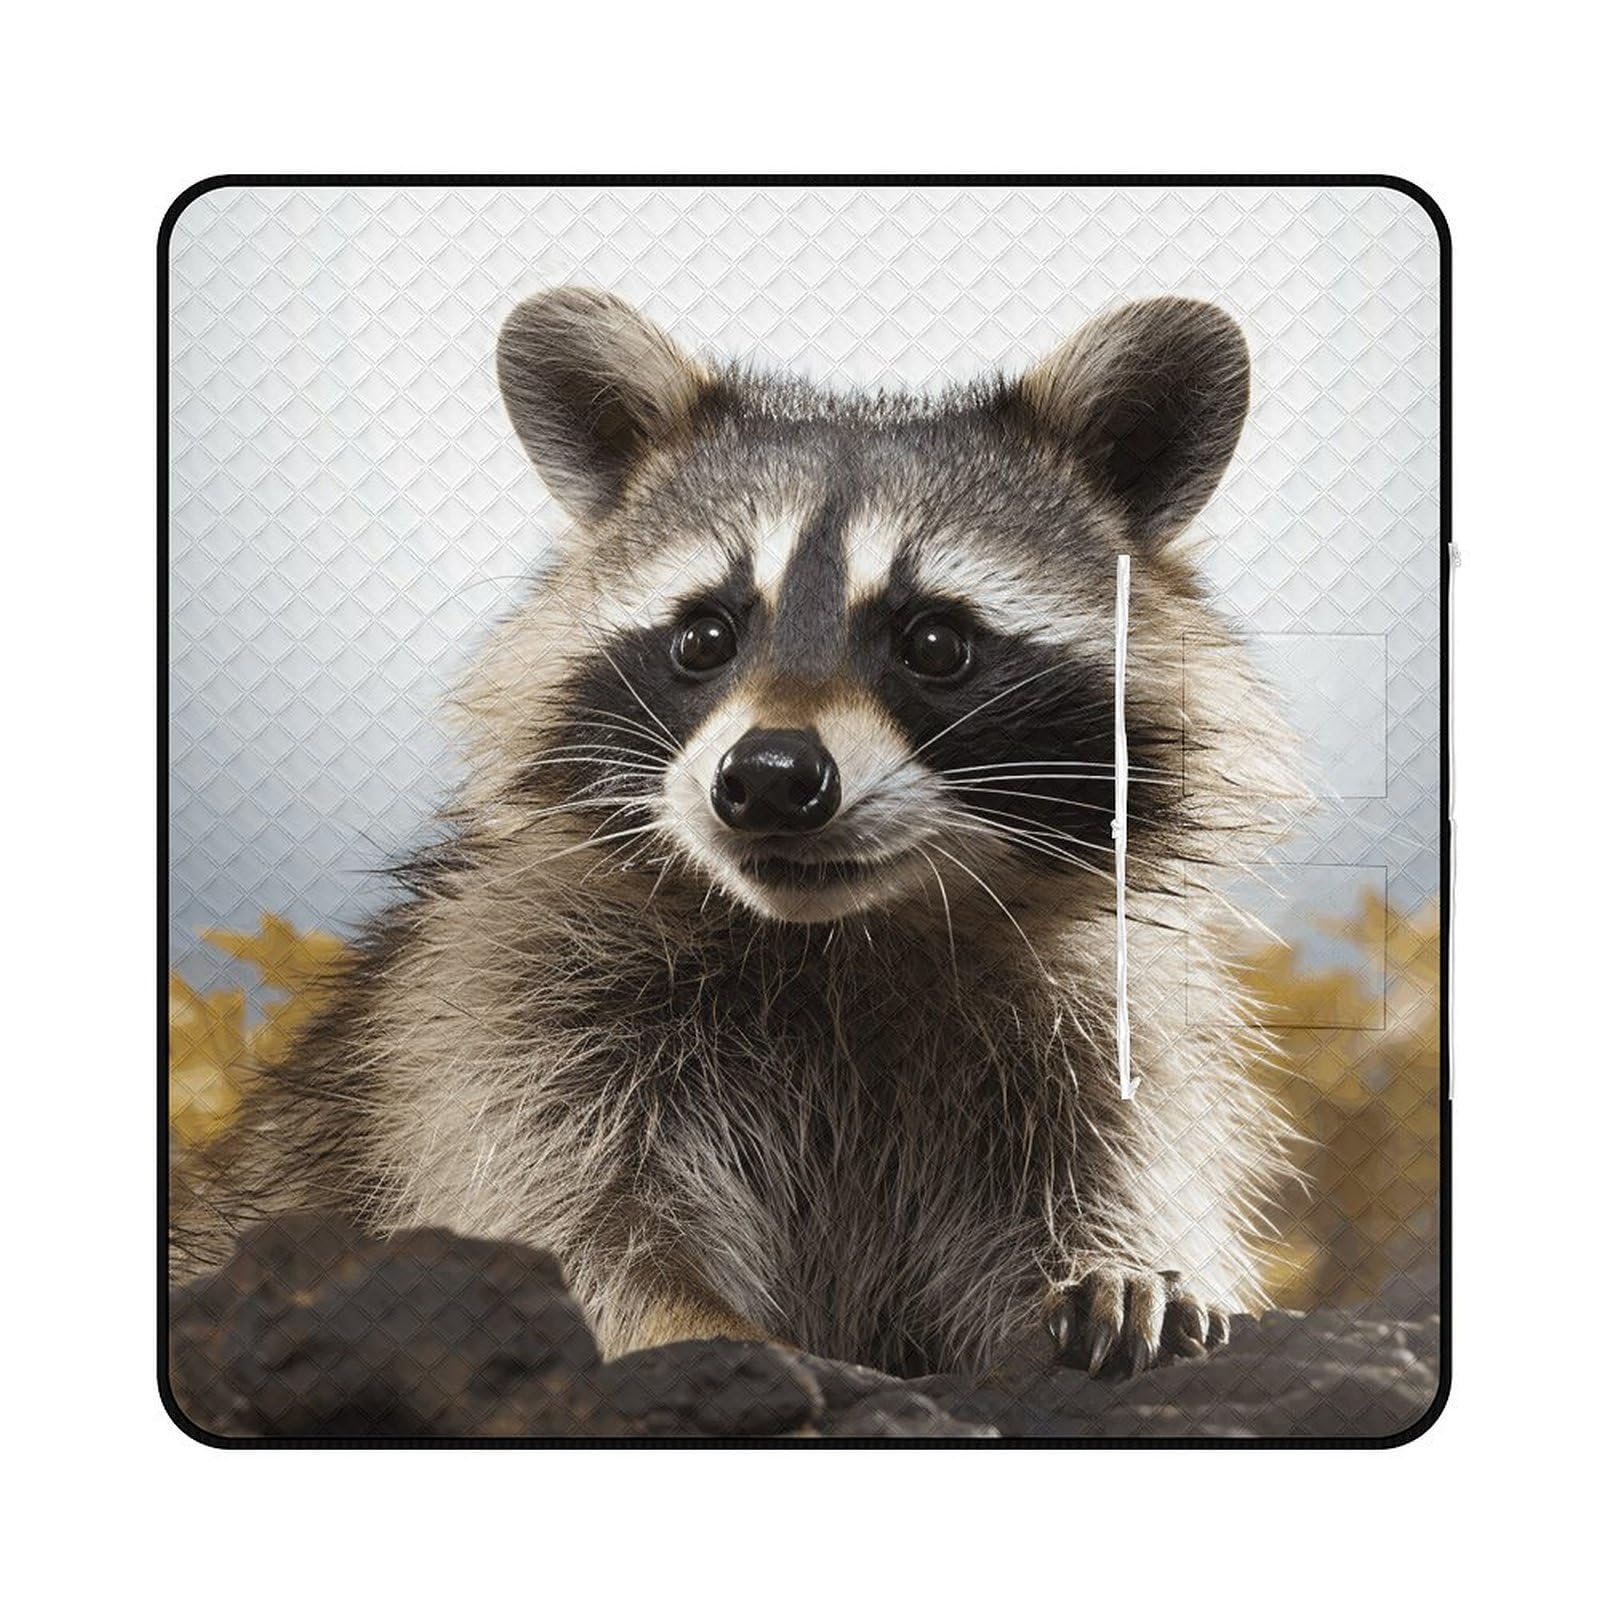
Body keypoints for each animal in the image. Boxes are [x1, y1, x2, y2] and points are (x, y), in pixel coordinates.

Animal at [183, 288, 1300, 1379]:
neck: (841, 937)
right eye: (704, 636)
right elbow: (567, 1230)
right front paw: (705, 1331)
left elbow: (1090, 1191)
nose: (769, 779)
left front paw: (1113, 1268)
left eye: (936, 642)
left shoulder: (1098, 1040)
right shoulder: (506, 1017)